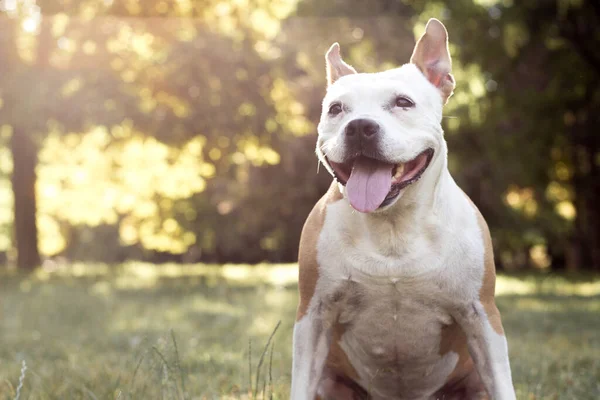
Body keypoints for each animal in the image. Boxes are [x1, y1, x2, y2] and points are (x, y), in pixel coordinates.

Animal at [290, 18, 516, 400]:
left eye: (402, 102)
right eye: (336, 109)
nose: (360, 126)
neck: (392, 226)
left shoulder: (481, 313)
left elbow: (502, 381)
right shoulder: (314, 314)